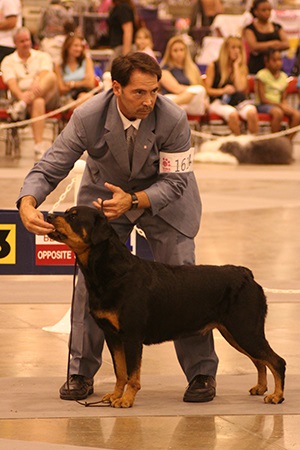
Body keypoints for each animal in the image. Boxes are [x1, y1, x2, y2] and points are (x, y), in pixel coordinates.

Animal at [47, 207, 286, 408]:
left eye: (73, 216)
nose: (48, 216)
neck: (112, 273)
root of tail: (247, 274)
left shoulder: (132, 336)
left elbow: (132, 374)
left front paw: (126, 399)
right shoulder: (112, 335)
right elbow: (120, 371)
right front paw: (115, 395)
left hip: (244, 329)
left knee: (277, 361)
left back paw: (276, 396)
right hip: (234, 333)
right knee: (260, 360)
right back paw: (261, 388)